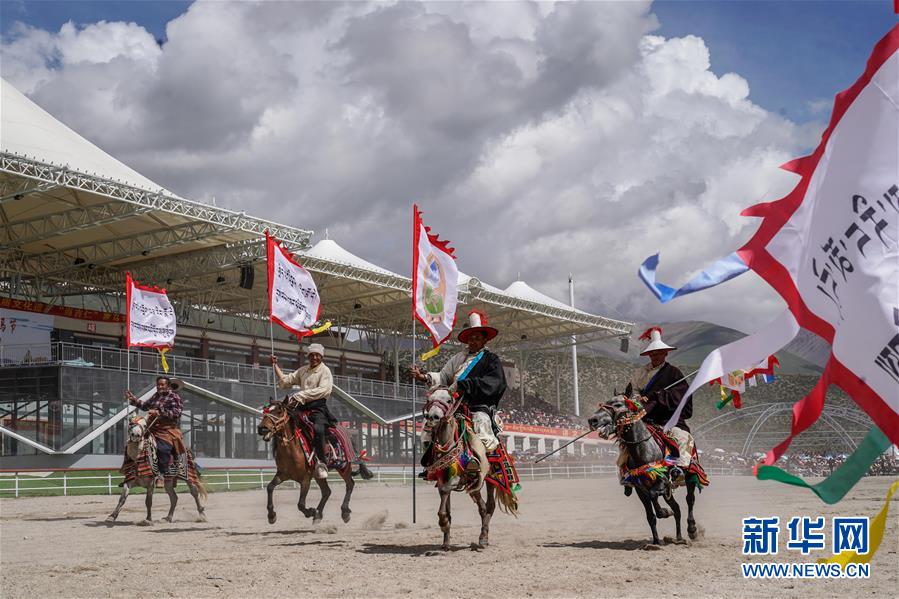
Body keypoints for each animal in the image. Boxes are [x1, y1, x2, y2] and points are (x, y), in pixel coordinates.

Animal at [592, 386, 704, 552]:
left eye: (618, 404)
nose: (592, 420)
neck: (643, 449)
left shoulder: (662, 481)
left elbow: (655, 500)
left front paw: (664, 512)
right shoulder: (641, 489)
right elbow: (650, 515)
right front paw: (656, 542)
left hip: (690, 476)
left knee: (690, 500)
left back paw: (692, 530)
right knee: (677, 508)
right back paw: (678, 538)